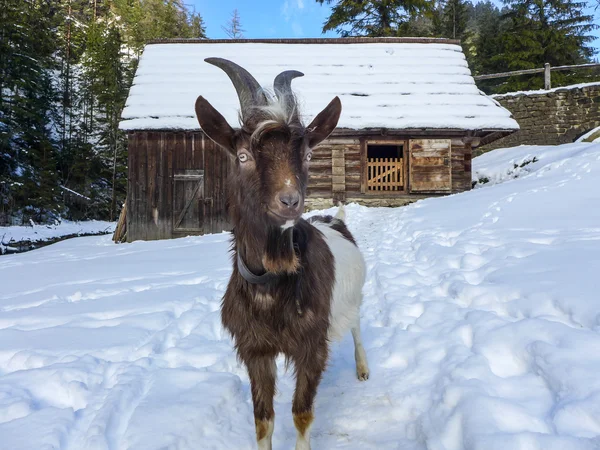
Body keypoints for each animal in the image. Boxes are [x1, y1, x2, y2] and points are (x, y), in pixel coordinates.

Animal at [195, 58, 368, 450]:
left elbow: (301, 414)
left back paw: (363, 368)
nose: (290, 201)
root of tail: (335, 219)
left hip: (353, 299)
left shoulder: (310, 345)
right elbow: (263, 420)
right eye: (242, 155)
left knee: (356, 324)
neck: (269, 286)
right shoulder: (254, 349)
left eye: (307, 154)